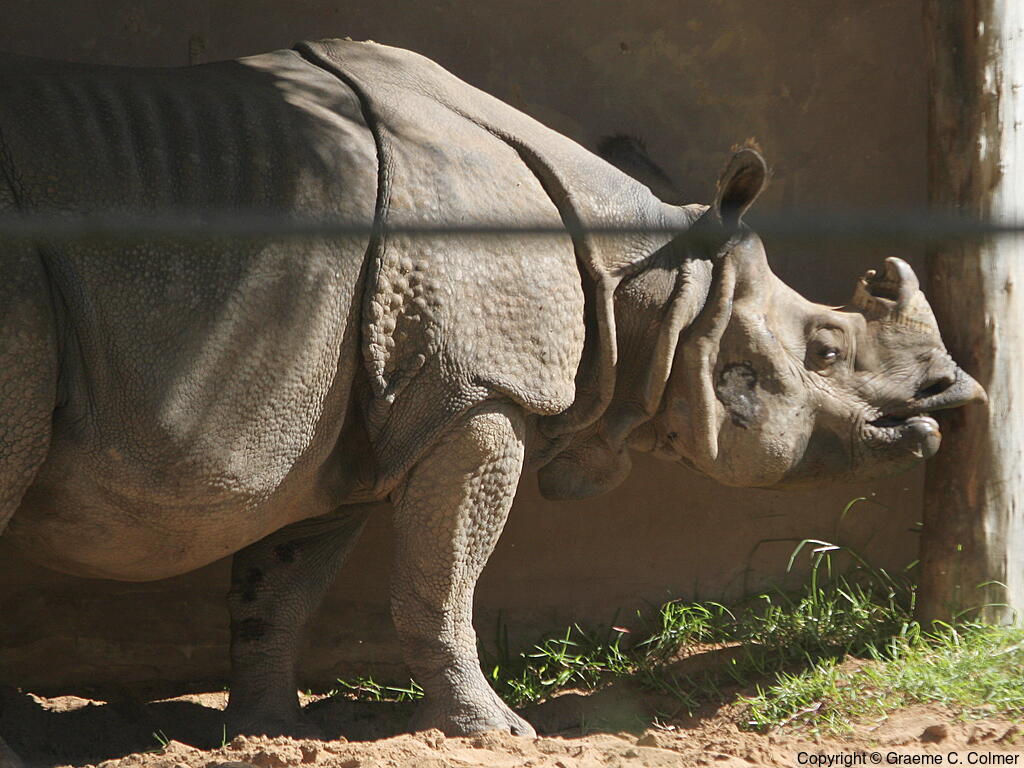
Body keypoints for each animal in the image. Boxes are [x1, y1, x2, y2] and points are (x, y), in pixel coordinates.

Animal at [0, 38, 984, 754]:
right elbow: (444, 581)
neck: (653, 281)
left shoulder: (331, 424)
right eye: (826, 348)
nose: (954, 394)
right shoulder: (477, 396)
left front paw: (271, 734)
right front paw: (498, 732)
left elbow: (280, 588)